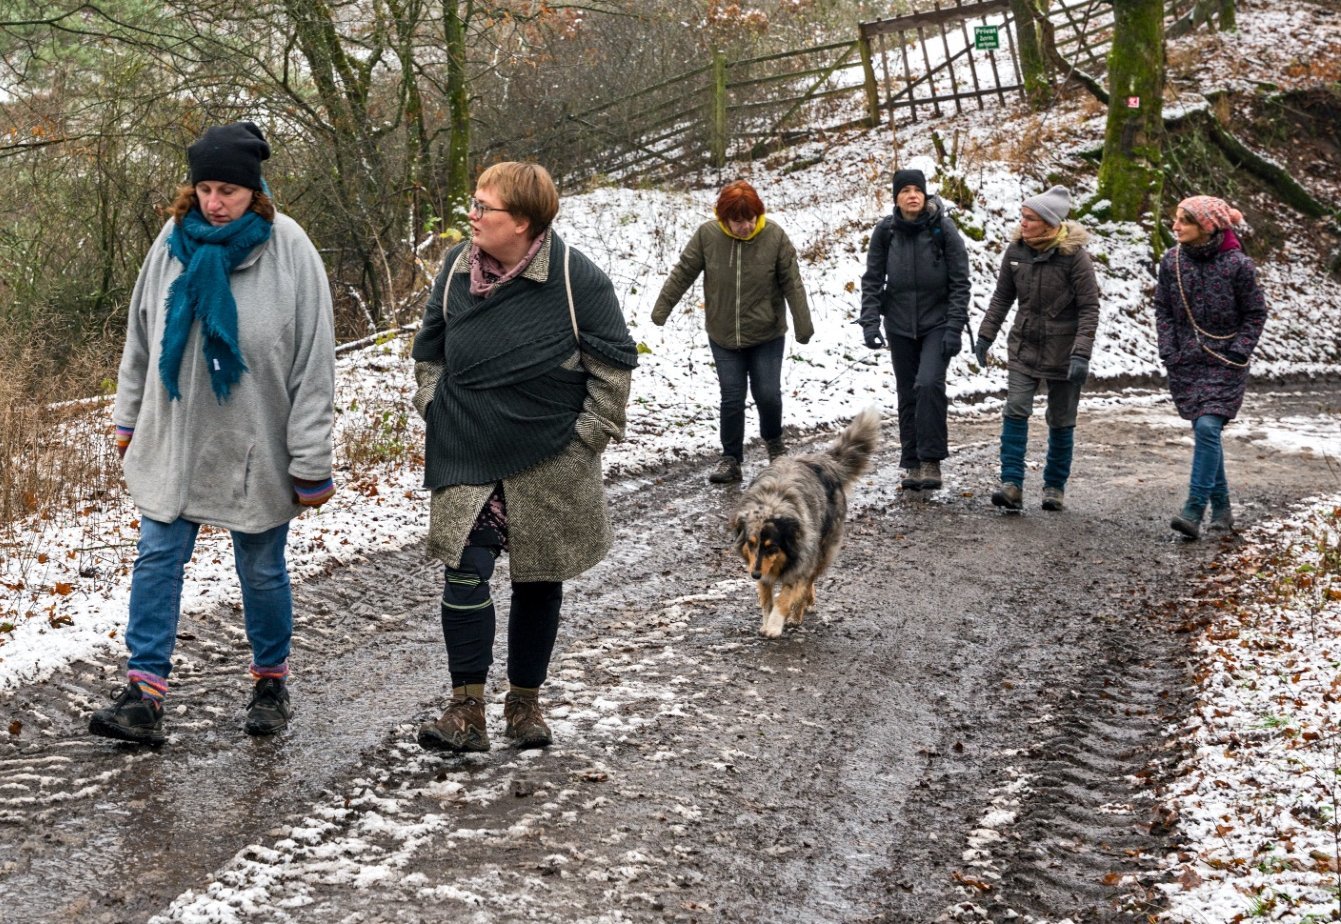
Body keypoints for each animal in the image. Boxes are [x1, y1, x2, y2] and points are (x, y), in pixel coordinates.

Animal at [734, 407, 879, 638]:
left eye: (772, 547)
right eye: (751, 543)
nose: (754, 574)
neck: (773, 504)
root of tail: (823, 461)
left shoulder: (801, 562)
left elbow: (785, 597)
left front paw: (775, 625)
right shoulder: (761, 569)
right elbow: (767, 600)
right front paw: (767, 621)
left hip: (822, 551)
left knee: (809, 581)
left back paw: (798, 612)